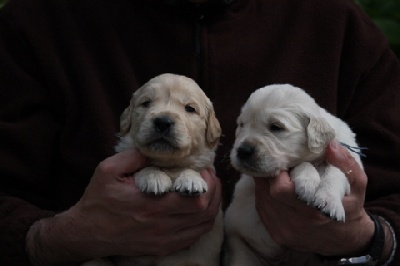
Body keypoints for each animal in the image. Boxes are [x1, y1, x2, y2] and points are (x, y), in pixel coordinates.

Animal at [83, 74, 223, 266]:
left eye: (190, 108)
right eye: (146, 103)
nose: (163, 122)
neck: (167, 164)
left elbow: (192, 167)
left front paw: (191, 180)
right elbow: (145, 166)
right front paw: (154, 177)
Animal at [223, 84, 364, 264]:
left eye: (276, 127)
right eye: (241, 124)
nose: (243, 151)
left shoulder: (346, 157)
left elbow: (335, 173)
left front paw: (329, 201)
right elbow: (299, 165)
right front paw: (308, 183)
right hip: (241, 250)